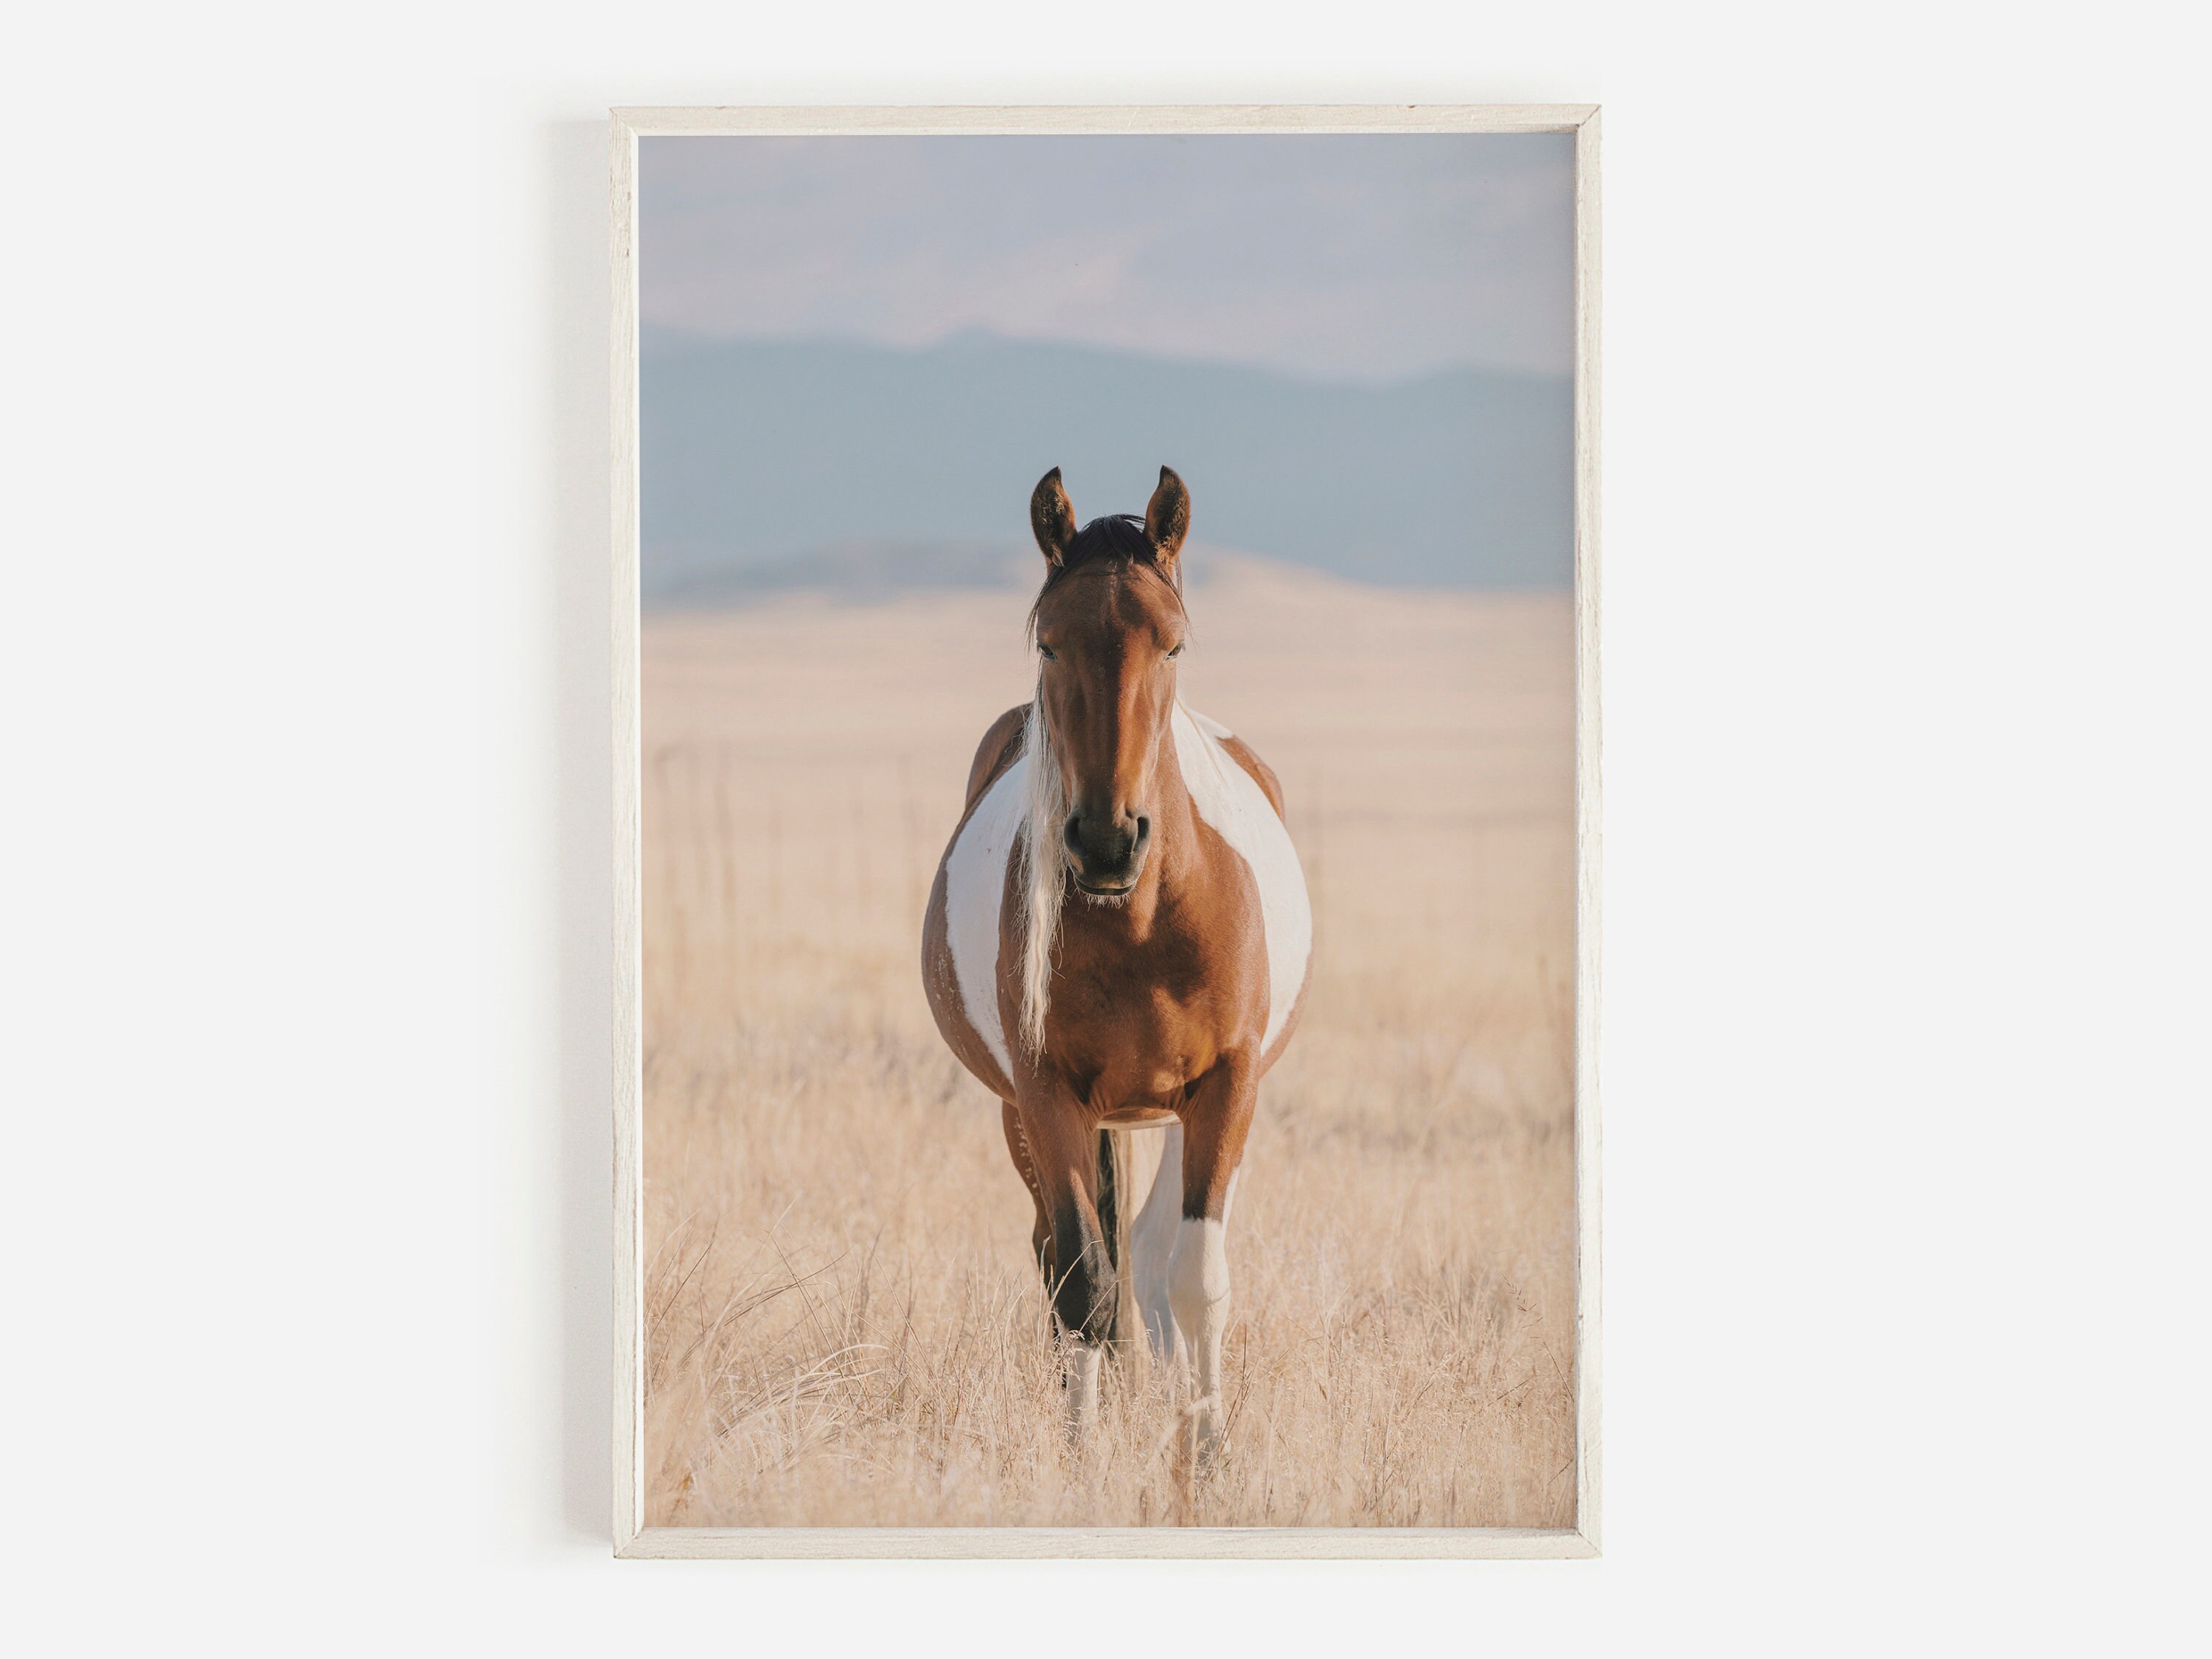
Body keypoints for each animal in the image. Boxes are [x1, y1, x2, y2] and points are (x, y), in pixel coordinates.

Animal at [921, 465, 1313, 1457]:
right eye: (1049, 642)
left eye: (1172, 644)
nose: (1105, 842)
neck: (1140, 923)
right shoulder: (1046, 1092)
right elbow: (1082, 1284)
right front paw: (1082, 1457)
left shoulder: (1226, 1086)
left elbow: (1194, 1280)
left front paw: (1206, 1457)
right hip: (1028, 1114)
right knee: (1070, 1257)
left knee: (1150, 1252)